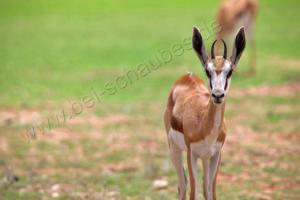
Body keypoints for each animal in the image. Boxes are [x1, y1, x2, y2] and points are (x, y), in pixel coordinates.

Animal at [164, 27, 246, 200]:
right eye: (208, 71)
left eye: (230, 71)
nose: (218, 95)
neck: (204, 125)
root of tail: (187, 76)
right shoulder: (191, 154)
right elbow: (193, 192)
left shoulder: (216, 154)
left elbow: (210, 191)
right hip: (174, 149)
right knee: (183, 185)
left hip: (206, 158)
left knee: (202, 185)